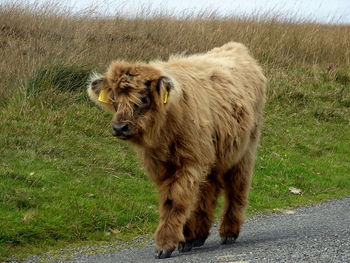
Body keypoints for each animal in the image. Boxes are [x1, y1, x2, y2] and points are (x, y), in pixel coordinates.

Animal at [89, 42, 266, 258]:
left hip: (244, 151)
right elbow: (170, 199)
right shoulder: (162, 167)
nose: (119, 128)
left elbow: (175, 200)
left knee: (237, 187)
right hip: (213, 154)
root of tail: (234, 47)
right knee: (209, 188)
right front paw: (181, 238)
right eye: (114, 98)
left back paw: (229, 232)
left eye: (144, 99)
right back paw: (196, 236)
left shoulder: (189, 162)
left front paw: (165, 244)